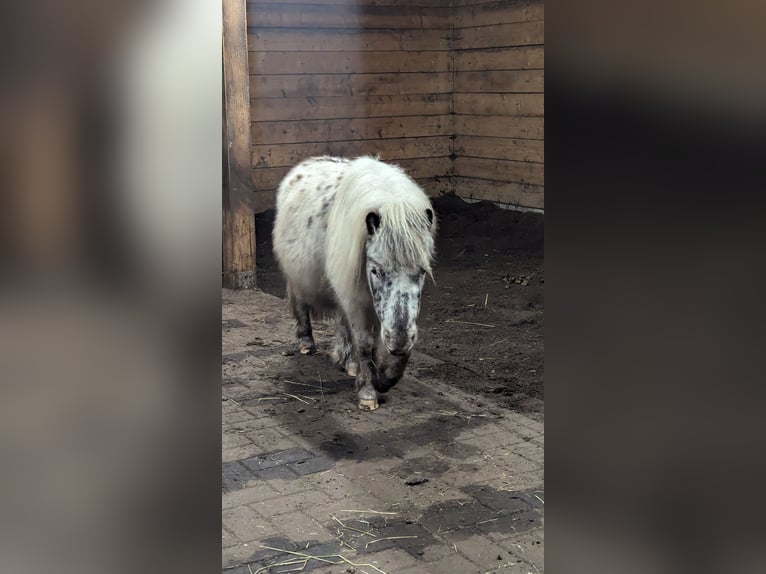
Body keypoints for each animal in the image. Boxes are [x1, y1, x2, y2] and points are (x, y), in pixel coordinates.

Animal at [272, 156, 437, 409]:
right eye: (376, 270)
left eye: (421, 272)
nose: (399, 340)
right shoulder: (356, 300)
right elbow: (366, 343)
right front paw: (368, 391)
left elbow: (391, 349)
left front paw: (384, 379)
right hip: (300, 279)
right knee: (301, 305)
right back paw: (307, 343)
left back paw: (348, 362)